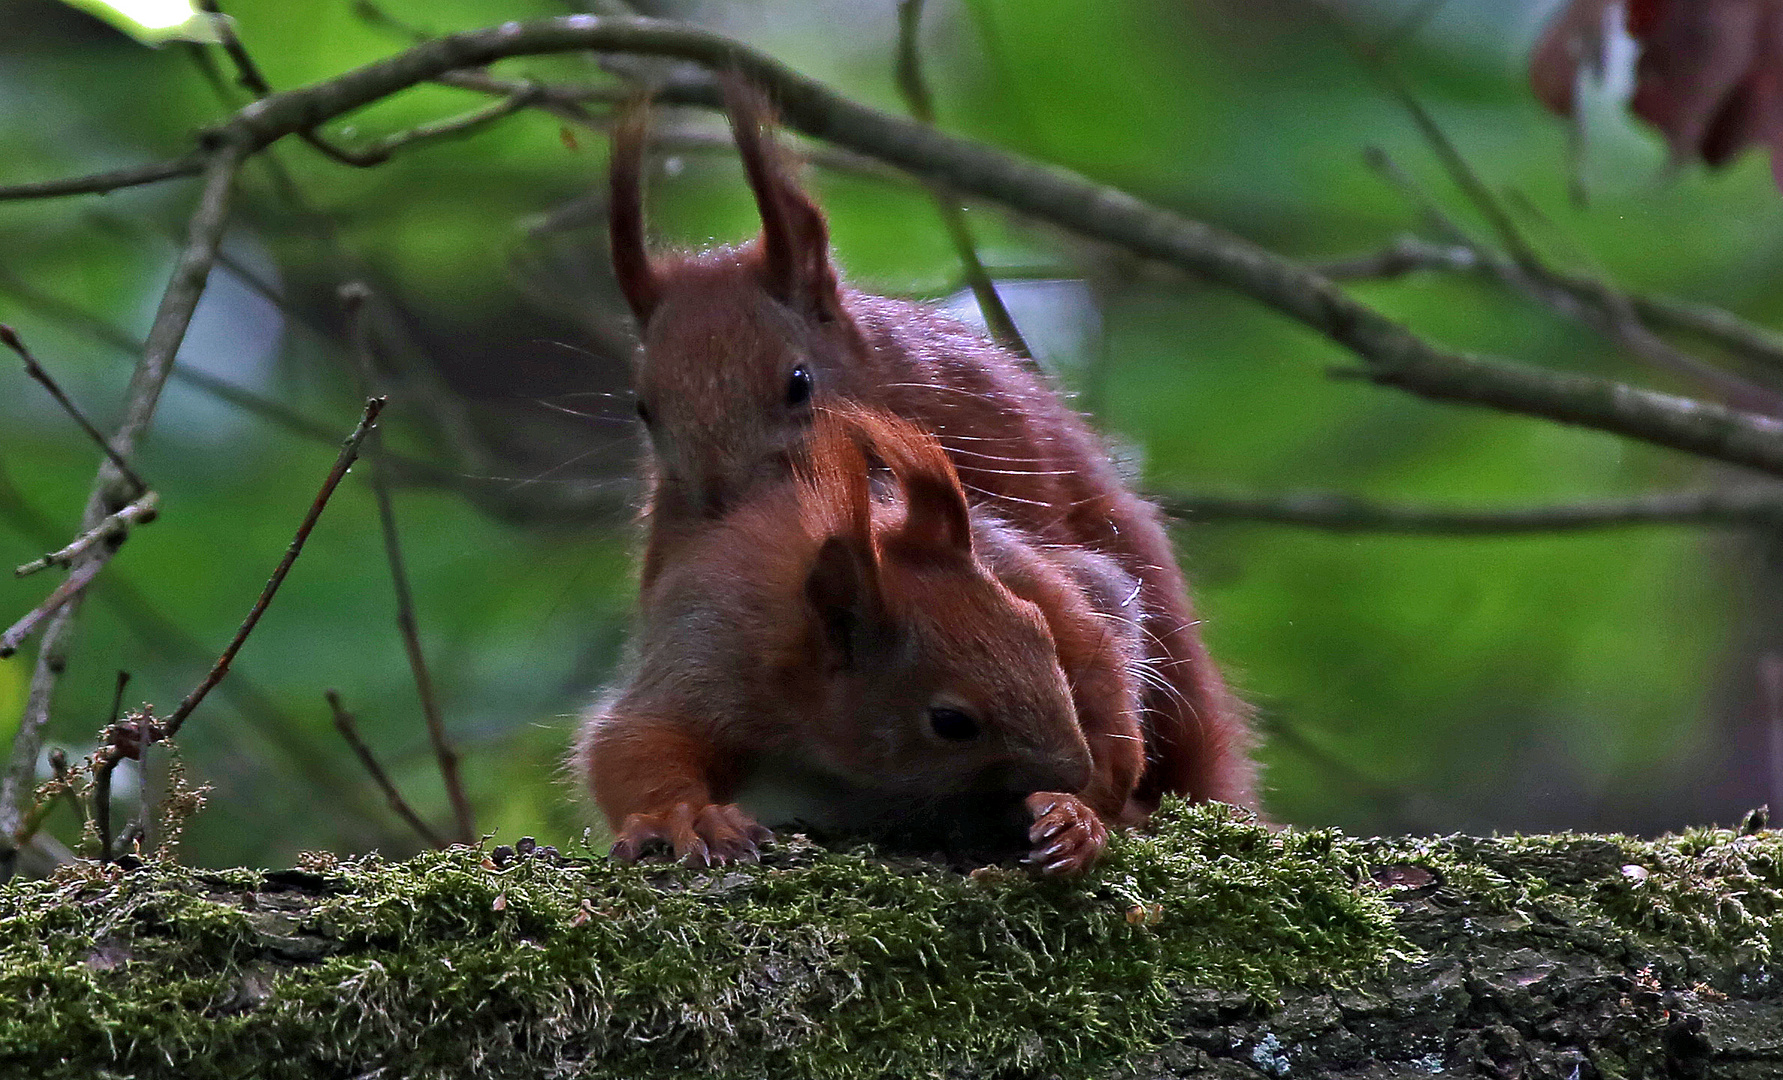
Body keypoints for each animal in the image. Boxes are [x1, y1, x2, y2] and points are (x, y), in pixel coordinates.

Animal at [577, 409, 1148, 876]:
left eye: (1037, 631)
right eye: (950, 723)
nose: (1075, 772)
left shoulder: (1028, 583)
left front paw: (1075, 812)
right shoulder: (711, 655)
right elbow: (633, 741)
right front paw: (692, 815)